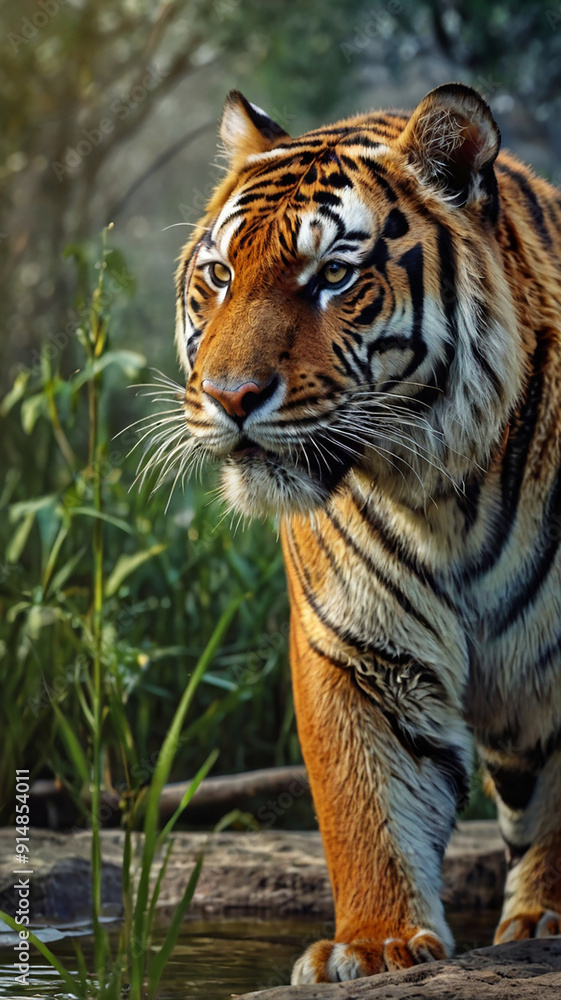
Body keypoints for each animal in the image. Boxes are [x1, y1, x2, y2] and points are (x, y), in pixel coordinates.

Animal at [173, 83, 561, 983]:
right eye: (219, 275)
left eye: (333, 276)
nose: (228, 396)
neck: (444, 492)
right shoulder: (361, 650)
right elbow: (367, 802)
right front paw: (375, 946)